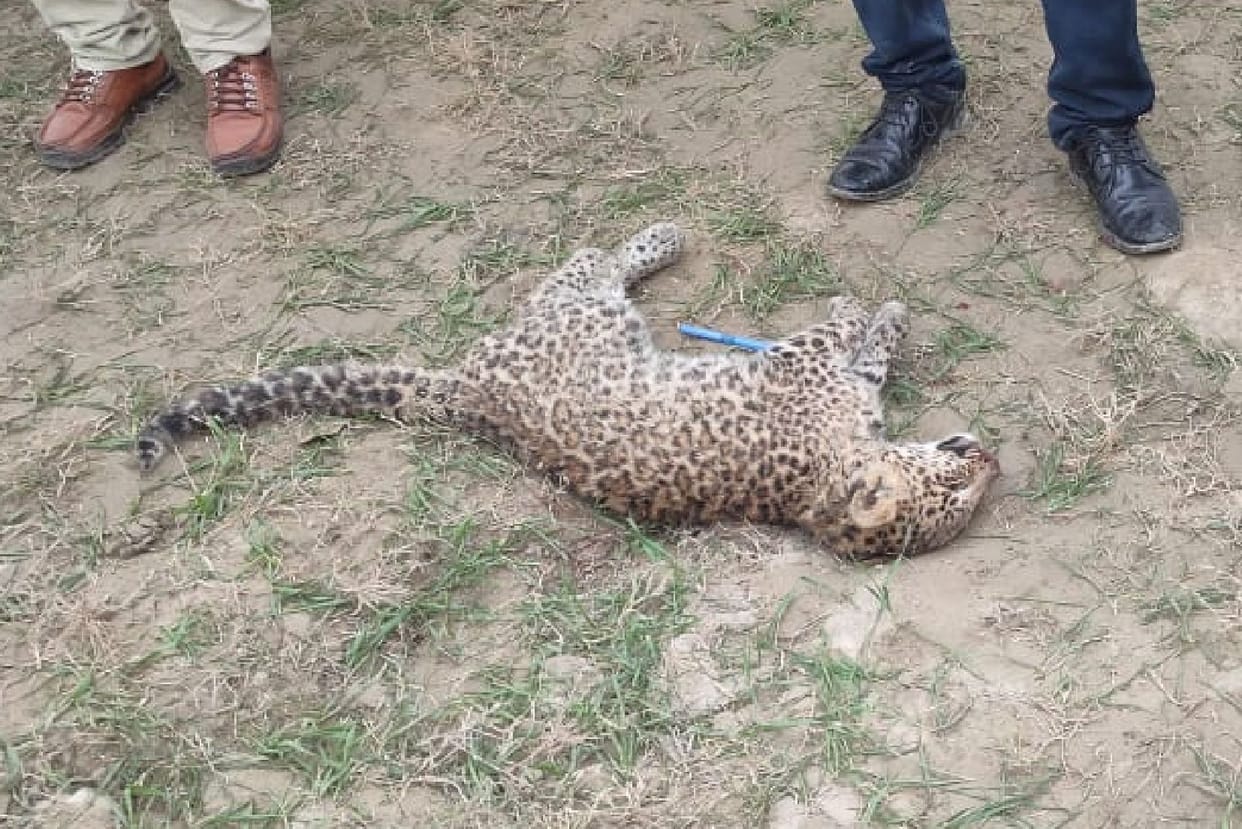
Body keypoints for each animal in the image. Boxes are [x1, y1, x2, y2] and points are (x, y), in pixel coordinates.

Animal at [136, 222, 999, 557]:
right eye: (954, 485)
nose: (992, 458)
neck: (821, 486)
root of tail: (467, 393)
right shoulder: (802, 363)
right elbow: (851, 336)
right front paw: (873, 307)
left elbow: (869, 358)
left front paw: (882, 316)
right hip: (590, 316)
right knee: (593, 260)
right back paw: (661, 235)